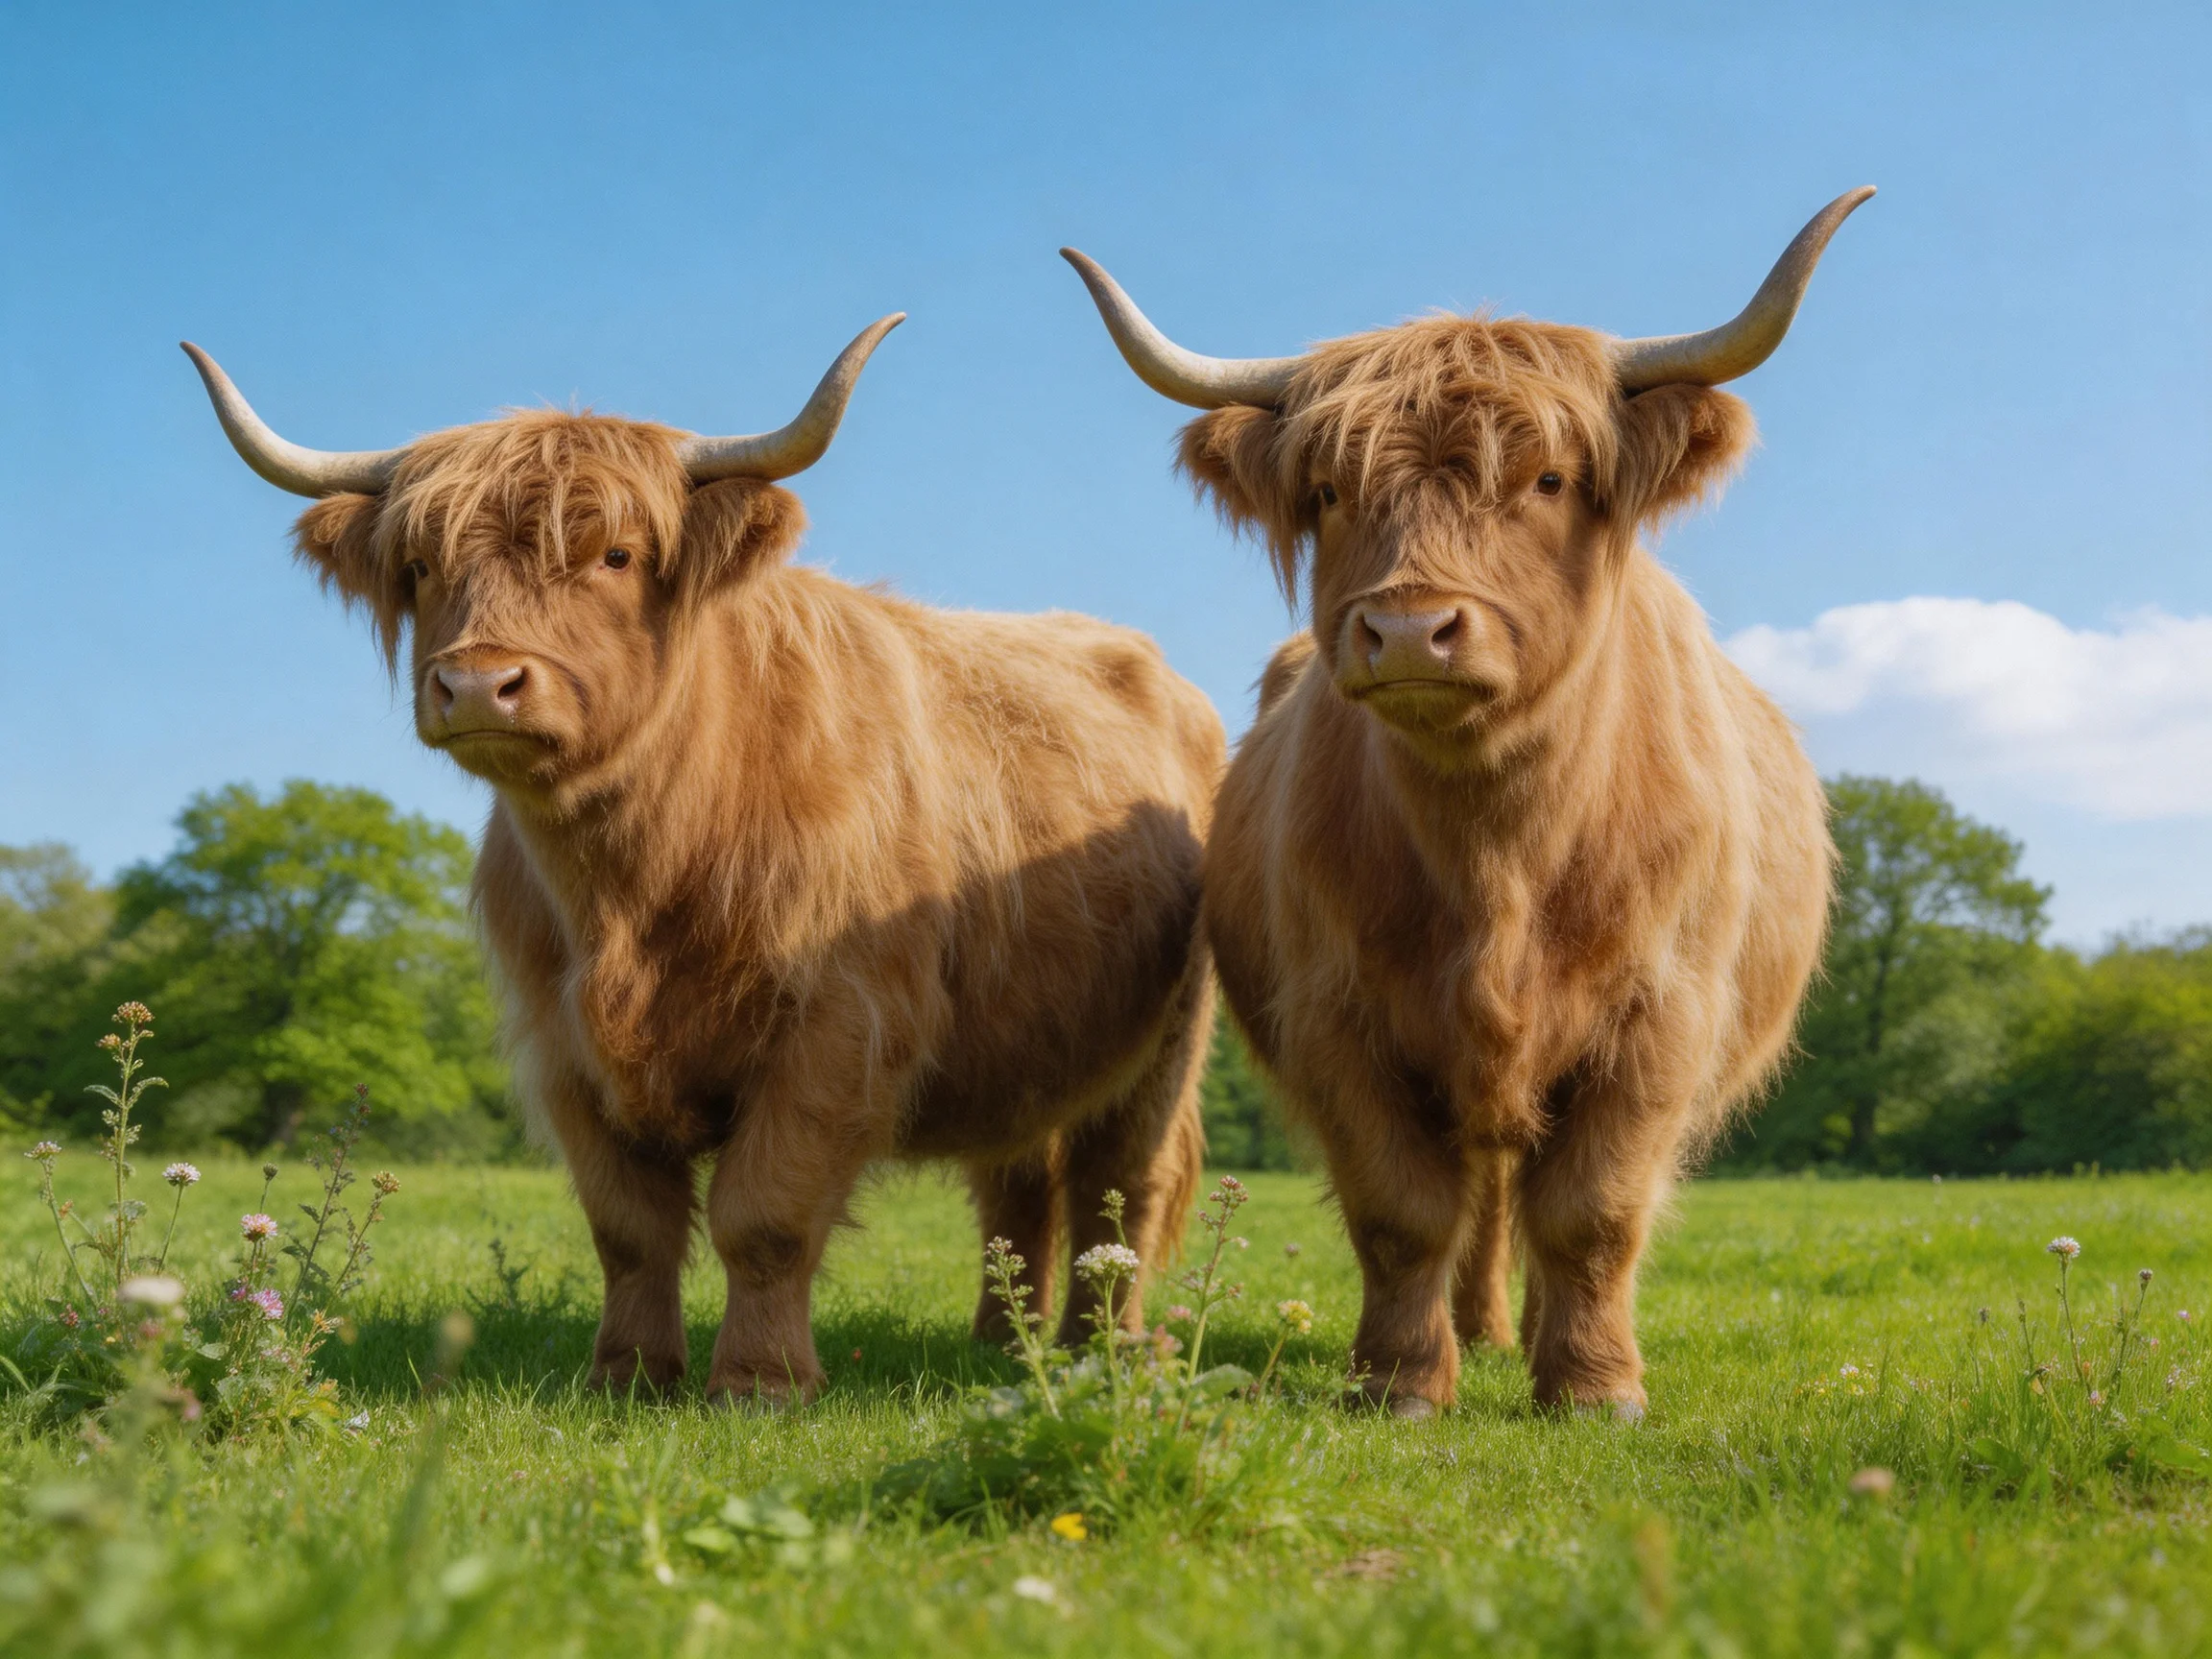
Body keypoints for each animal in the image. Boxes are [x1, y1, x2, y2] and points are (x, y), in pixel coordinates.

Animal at [185, 318, 1224, 1403]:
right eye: (422, 566)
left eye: (615, 554)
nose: (476, 683)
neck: (634, 884)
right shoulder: (563, 1046)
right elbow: (629, 1229)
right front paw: (629, 1373)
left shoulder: (838, 1024)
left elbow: (764, 1215)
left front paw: (761, 1384)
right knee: (1015, 1188)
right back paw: (1000, 1344)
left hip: (1169, 1040)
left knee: (1122, 1186)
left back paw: (1102, 1352)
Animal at [1064, 190, 1867, 1419]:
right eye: (1331, 493)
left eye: (1548, 481)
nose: (1407, 628)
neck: (1501, 855)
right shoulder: (1341, 1013)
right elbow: (1403, 1213)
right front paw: (1399, 1381)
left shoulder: (1660, 1017)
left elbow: (1593, 1212)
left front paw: (1593, 1388)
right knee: (1486, 1193)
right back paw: (1484, 1331)